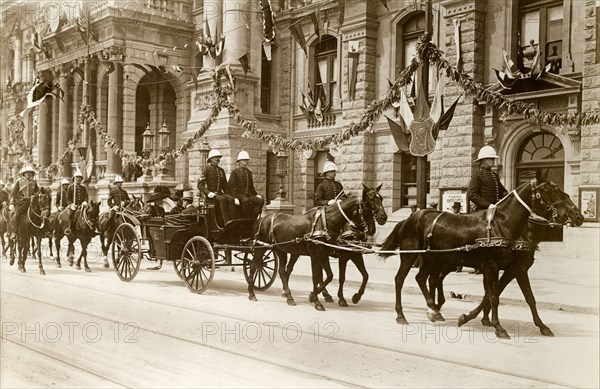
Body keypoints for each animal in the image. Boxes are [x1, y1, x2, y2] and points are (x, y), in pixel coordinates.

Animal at [250, 184, 386, 310]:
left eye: (381, 198)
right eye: (368, 205)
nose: (383, 218)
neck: (327, 223)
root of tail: (263, 218)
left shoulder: (342, 254)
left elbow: (353, 276)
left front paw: (353, 297)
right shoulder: (321, 254)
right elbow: (321, 276)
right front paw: (317, 299)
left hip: (283, 250)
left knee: (284, 270)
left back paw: (288, 295)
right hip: (261, 248)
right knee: (254, 266)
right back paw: (252, 293)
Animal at [382, 171, 584, 338]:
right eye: (551, 189)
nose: (579, 216)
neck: (503, 225)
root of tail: (410, 218)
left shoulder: (509, 268)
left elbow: (515, 296)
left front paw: (541, 326)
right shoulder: (500, 267)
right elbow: (495, 296)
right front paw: (497, 326)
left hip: (436, 259)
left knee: (424, 278)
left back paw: (434, 309)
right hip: (411, 256)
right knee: (400, 279)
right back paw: (403, 314)